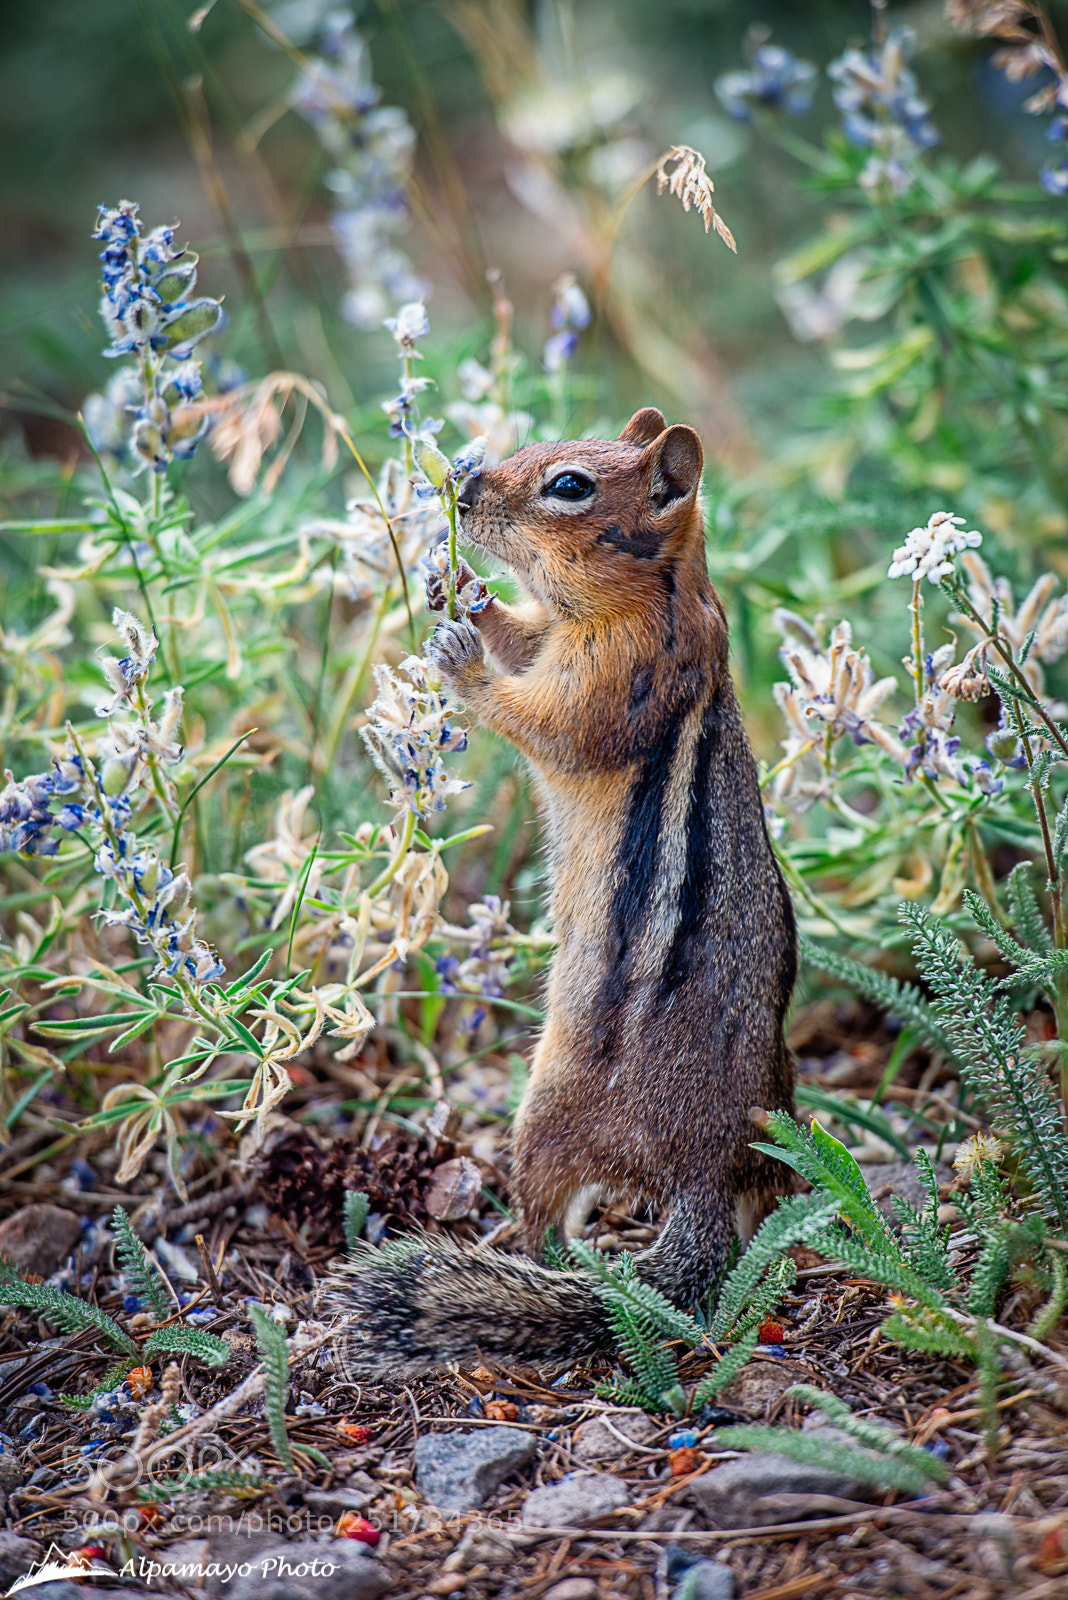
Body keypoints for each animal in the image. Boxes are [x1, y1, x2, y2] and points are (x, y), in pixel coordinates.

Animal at [332, 408, 797, 1376]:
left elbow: (544, 722)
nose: (462, 488)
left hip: (544, 1108)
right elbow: (523, 637)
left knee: (545, 1215)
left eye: (570, 486)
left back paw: (525, 1257)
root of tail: (703, 1168)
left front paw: (464, 660)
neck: (657, 593)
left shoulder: (610, 677)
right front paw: (461, 589)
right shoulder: (557, 634)